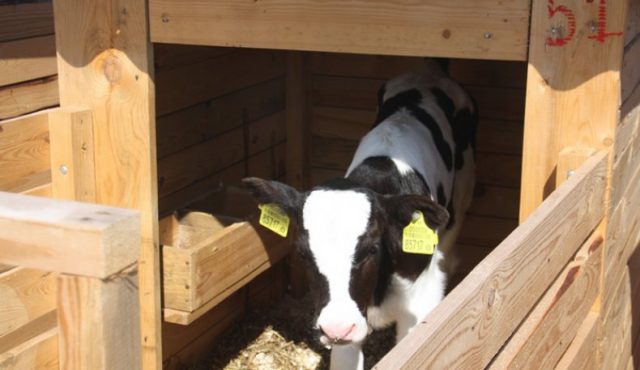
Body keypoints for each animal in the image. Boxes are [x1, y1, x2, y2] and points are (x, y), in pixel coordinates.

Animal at [242, 59, 478, 368]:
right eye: (303, 254)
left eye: (370, 250)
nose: (337, 328)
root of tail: (428, 71)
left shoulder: (420, 301)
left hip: (462, 195)